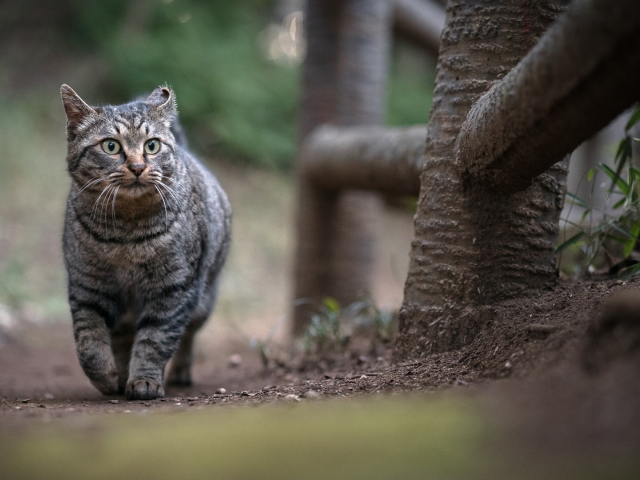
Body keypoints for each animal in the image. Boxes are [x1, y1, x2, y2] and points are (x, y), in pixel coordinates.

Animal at [60, 84, 232, 400]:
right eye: (111, 146)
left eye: (151, 146)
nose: (138, 166)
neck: (125, 236)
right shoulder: (87, 287)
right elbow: (89, 344)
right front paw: (107, 378)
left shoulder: (173, 289)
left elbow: (155, 340)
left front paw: (144, 381)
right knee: (121, 338)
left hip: (203, 300)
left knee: (187, 336)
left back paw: (178, 373)